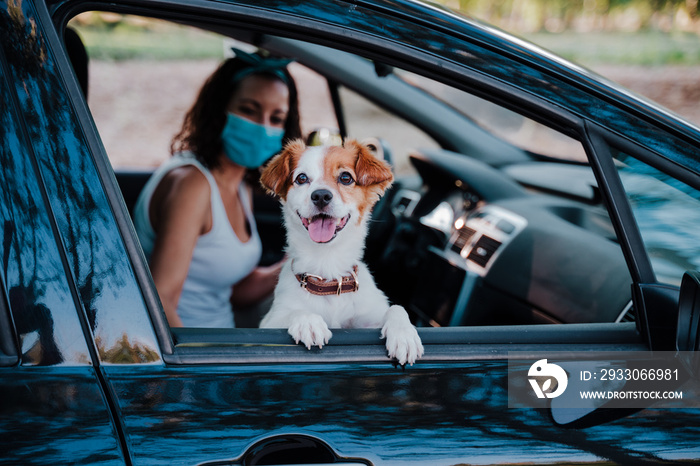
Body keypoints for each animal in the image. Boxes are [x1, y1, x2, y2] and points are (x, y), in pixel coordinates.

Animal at [258, 138, 422, 364]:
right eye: (301, 178)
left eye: (346, 178)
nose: (320, 195)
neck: (327, 268)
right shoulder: (269, 322)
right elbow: (293, 312)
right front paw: (308, 321)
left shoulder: (368, 320)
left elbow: (396, 308)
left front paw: (405, 335)